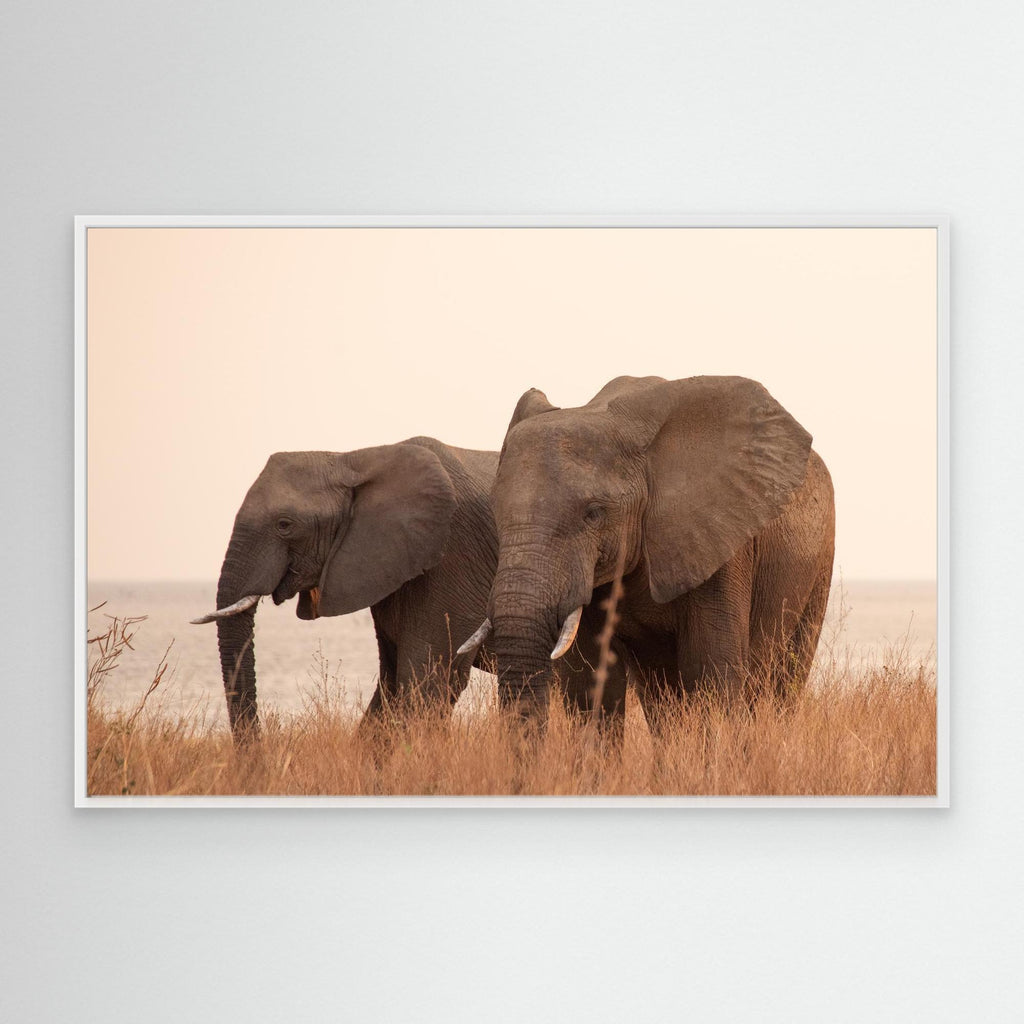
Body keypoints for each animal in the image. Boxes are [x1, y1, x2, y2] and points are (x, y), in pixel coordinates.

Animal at [191, 437, 499, 739]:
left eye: (284, 525)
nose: (261, 752)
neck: (351, 460)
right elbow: (390, 683)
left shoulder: (455, 554)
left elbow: (427, 682)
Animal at [457, 375, 835, 729]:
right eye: (495, 510)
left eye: (593, 513)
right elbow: (589, 681)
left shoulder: (723, 544)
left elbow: (711, 671)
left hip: (820, 561)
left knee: (783, 679)